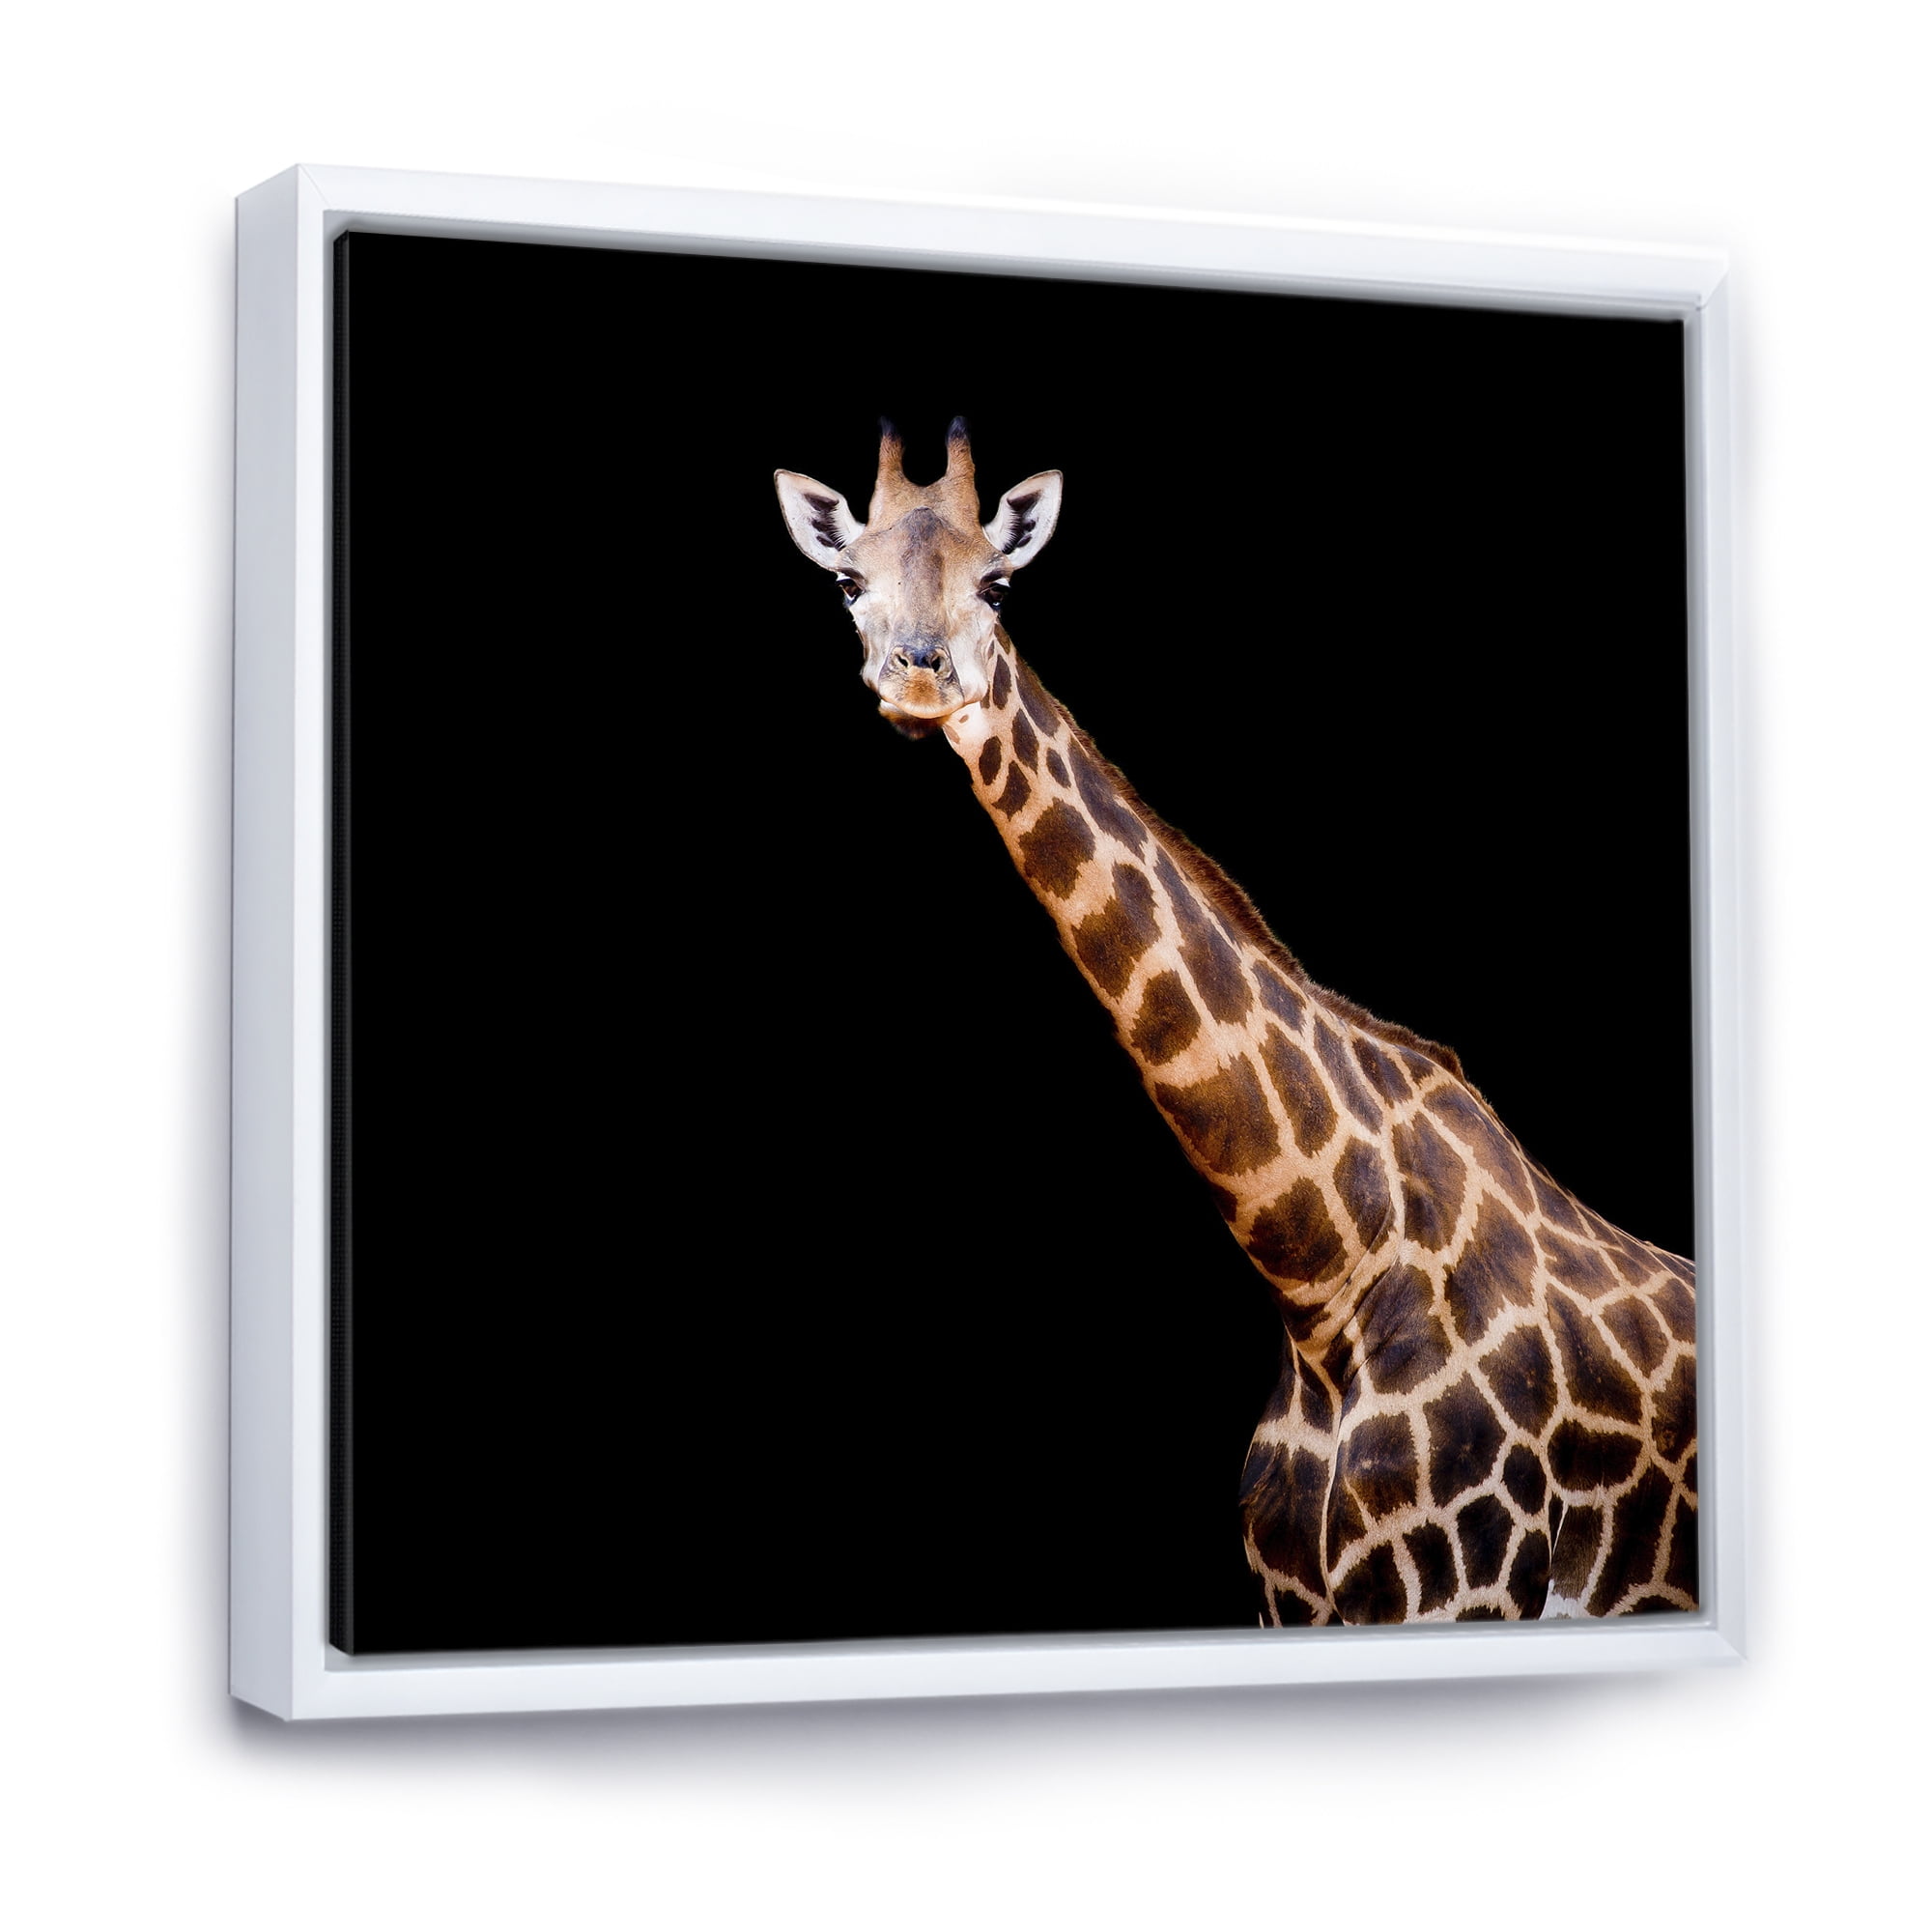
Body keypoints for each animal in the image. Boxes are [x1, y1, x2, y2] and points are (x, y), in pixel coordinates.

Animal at [774, 420, 1699, 1625]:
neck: (1325, 1278)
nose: (920, 675)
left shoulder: (1466, 1588)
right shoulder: (1285, 1599)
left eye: (999, 582)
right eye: (849, 580)